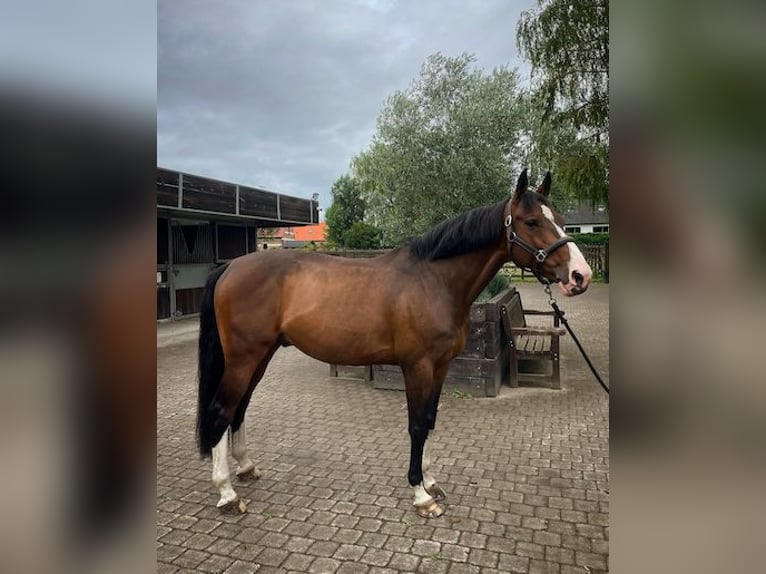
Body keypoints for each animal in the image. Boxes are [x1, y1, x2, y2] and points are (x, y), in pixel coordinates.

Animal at [196, 169, 592, 517]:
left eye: (559, 218)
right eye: (531, 222)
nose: (580, 276)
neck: (433, 281)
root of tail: (230, 268)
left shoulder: (441, 366)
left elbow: (430, 420)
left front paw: (431, 481)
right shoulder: (417, 366)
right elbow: (416, 424)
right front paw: (420, 495)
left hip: (260, 357)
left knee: (239, 409)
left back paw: (246, 468)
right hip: (244, 358)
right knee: (221, 410)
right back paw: (227, 494)